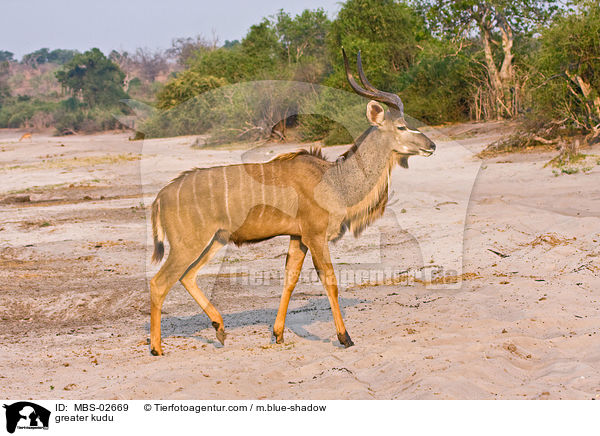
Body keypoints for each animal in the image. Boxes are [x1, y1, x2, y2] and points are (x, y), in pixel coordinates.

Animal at [147, 49, 434, 356]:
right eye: (402, 126)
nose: (432, 145)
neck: (334, 179)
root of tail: (161, 196)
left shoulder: (298, 237)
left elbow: (290, 279)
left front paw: (278, 334)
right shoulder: (315, 235)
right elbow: (330, 281)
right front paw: (345, 337)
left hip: (214, 240)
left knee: (187, 276)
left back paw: (220, 329)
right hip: (188, 245)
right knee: (159, 282)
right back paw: (157, 348)